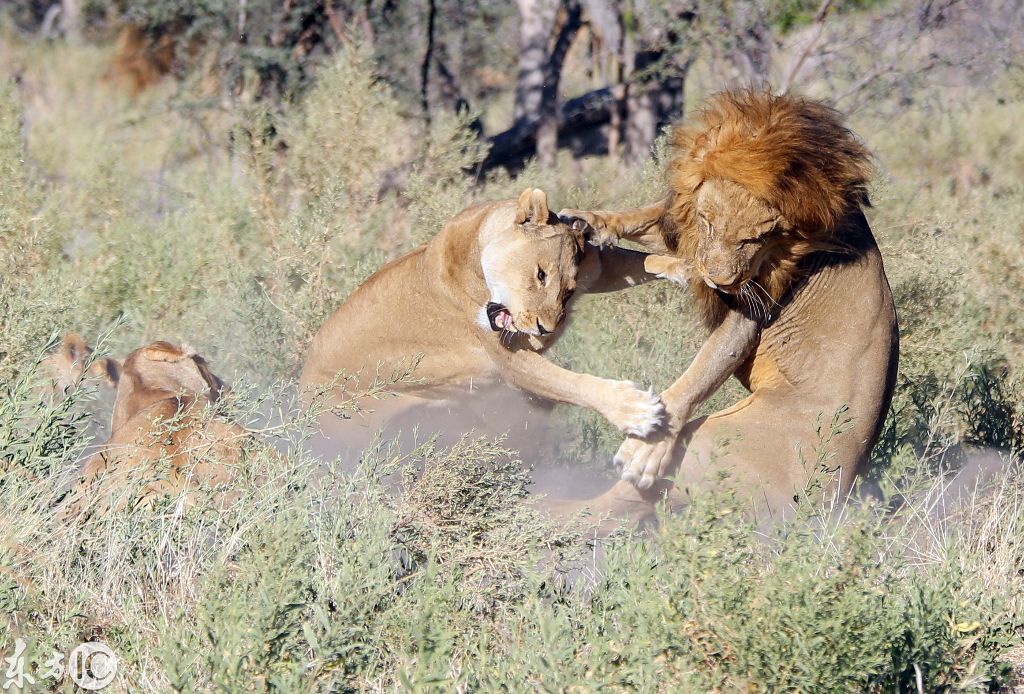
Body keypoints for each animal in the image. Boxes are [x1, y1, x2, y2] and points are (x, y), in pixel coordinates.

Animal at [299, 187, 663, 448]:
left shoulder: (596, 265)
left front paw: (675, 266)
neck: (482, 238)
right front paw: (635, 410)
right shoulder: (510, 360)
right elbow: (570, 383)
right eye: (540, 275)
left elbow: (640, 262)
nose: (545, 329)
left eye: (569, 291)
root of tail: (302, 389)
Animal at [557, 91, 901, 522]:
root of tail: (828, 503)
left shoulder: (754, 306)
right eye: (708, 223)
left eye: (756, 239)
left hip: (706, 438)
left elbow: (702, 371)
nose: (719, 281)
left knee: (618, 506)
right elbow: (648, 219)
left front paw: (649, 444)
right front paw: (588, 221)